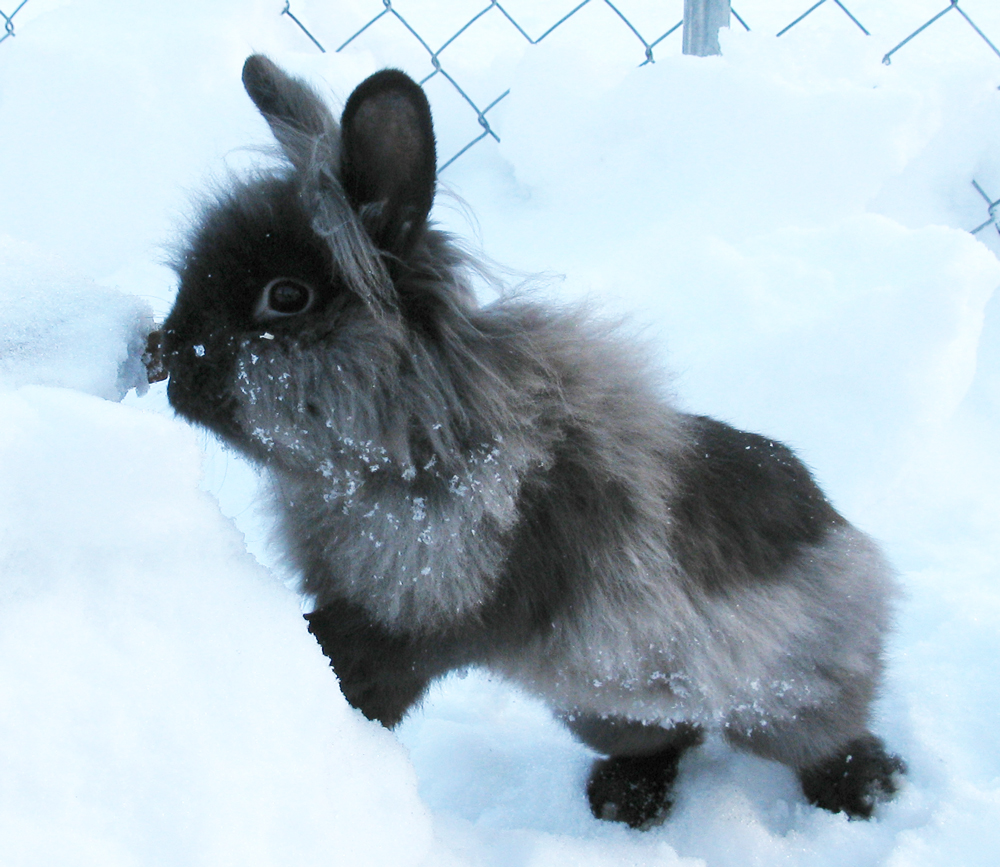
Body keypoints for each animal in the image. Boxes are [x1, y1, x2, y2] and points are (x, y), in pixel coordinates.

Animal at [160, 55, 905, 829]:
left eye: (286, 297)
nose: (166, 355)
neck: (410, 439)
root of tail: (851, 543)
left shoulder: (429, 620)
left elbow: (373, 667)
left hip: (784, 701)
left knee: (830, 739)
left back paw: (864, 794)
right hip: (605, 706)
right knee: (671, 735)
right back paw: (624, 802)